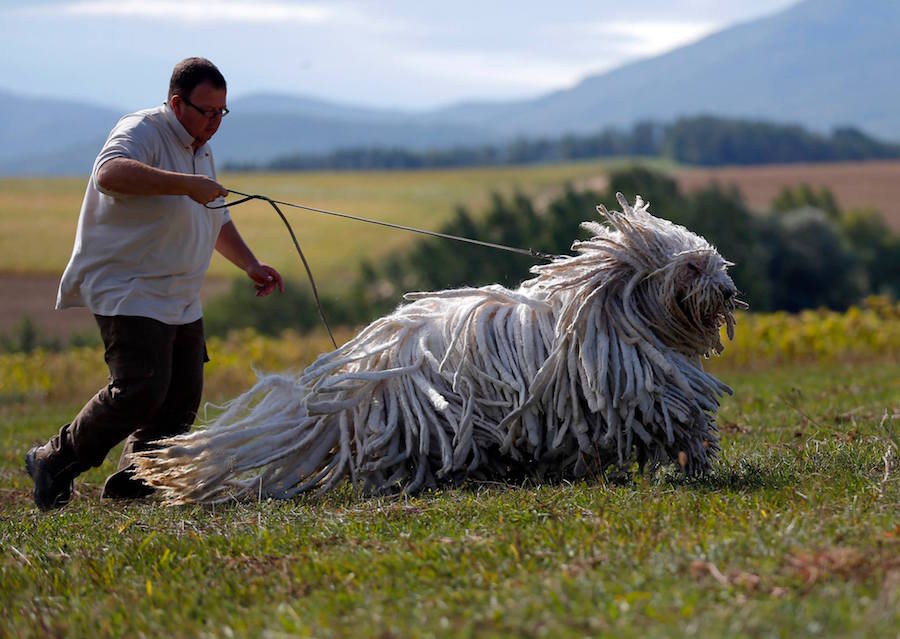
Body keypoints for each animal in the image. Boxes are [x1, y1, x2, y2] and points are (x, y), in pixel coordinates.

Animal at [132, 192, 740, 502]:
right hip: (432, 417)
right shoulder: (638, 387)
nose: (729, 291)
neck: (612, 309)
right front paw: (696, 458)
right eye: (692, 267)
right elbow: (678, 416)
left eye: (714, 260)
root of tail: (364, 368)